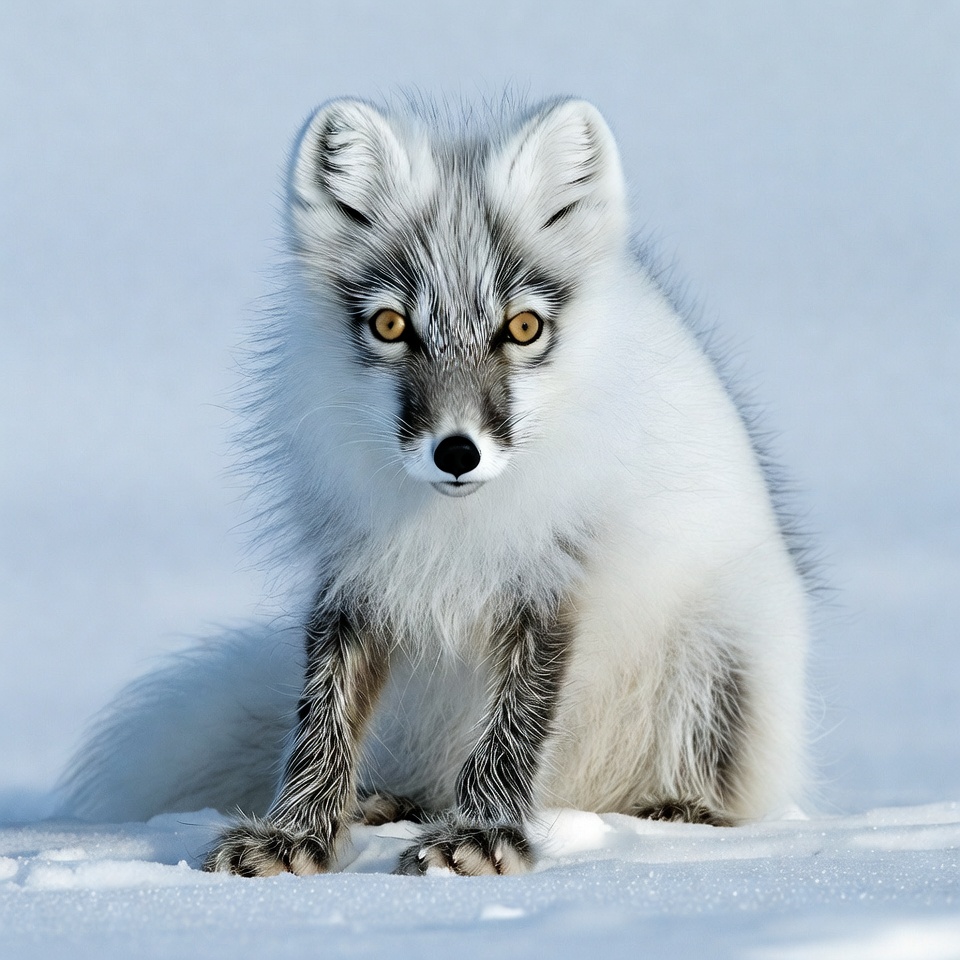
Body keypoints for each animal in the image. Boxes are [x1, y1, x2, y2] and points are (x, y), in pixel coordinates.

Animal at [58, 96, 810, 877]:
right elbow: (322, 720)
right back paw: (391, 804)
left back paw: (672, 816)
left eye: (523, 327)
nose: (457, 452)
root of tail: (583, 793)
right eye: (391, 325)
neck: (453, 531)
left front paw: (479, 836)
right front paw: (295, 838)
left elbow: (514, 726)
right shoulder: (357, 573)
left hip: (719, 660)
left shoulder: (555, 575)